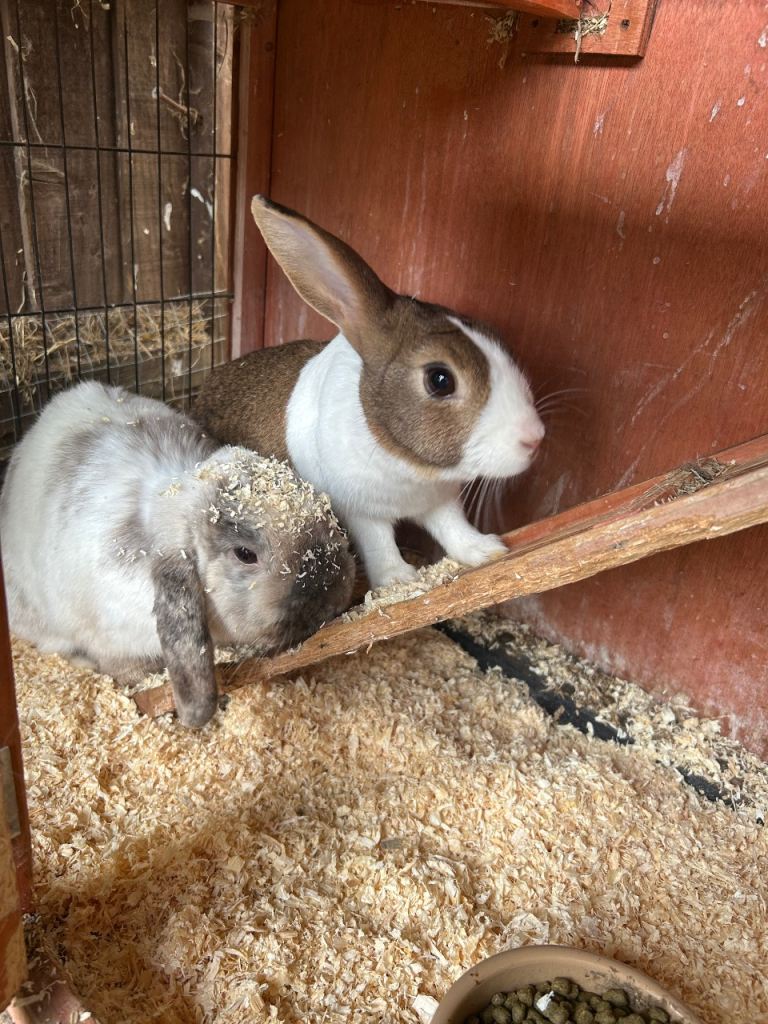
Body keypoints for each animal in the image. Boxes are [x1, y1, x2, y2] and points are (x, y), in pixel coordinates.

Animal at [194, 196, 545, 589]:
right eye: (440, 379)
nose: (535, 438)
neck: (407, 463)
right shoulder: (360, 512)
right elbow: (379, 544)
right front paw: (399, 581)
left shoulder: (440, 501)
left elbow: (453, 527)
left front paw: (486, 550)